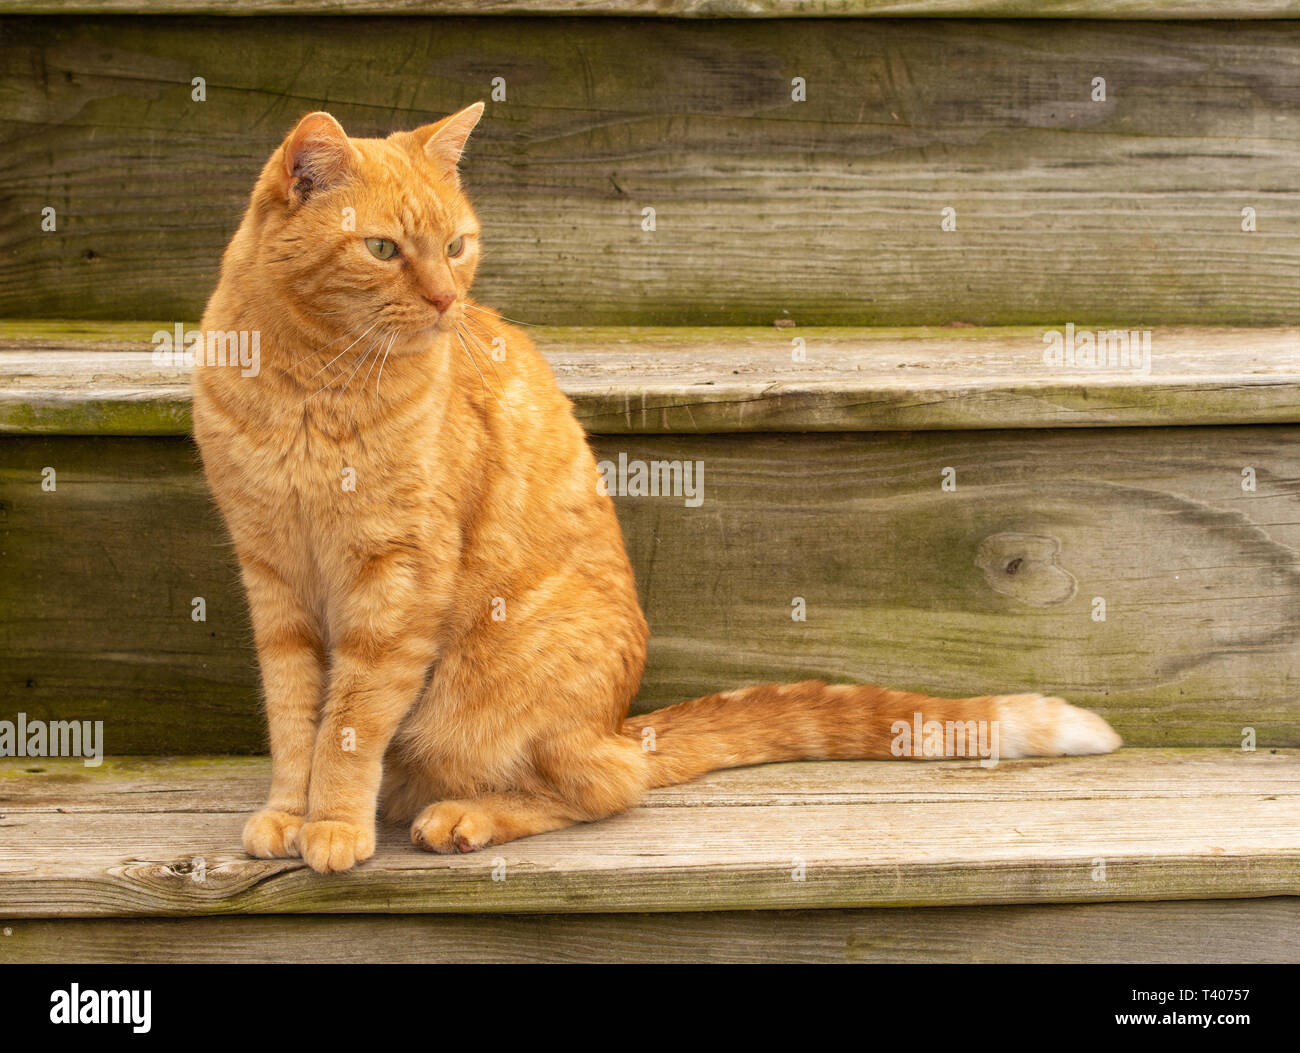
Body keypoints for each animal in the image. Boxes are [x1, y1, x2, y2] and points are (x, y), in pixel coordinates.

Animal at [189, 102, 1118, 873]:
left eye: (456, 245)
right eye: (383, 249)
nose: (448, 299)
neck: (311, 385)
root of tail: (619, 722)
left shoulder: (396, 581)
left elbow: (349, 723)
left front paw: (332, 823)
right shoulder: (272, 575)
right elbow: (295, 715)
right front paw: (289, 811)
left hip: (492, 694)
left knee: (603, 787)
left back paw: (467, 816)